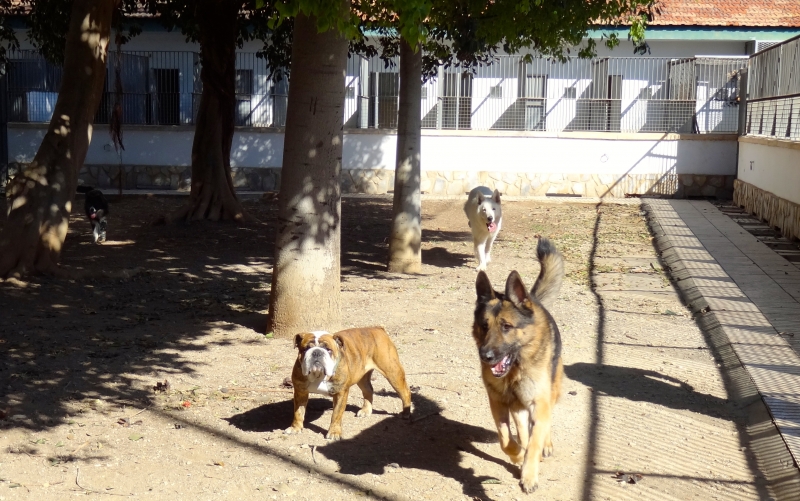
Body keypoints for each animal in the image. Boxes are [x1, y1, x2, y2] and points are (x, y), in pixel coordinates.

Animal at [472, 237, 564, 492]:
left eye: (506, 326)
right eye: (484, 326)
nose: (485, 356)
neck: (515, 370)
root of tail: (532, 299)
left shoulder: (538, 403)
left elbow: (534, 442)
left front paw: (529, 475)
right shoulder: (498, 404)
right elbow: (505, 438)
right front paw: (516, 455)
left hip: (550, 392)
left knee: (545, 424)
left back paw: (546, 445)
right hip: (517, 408)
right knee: (523, 430)